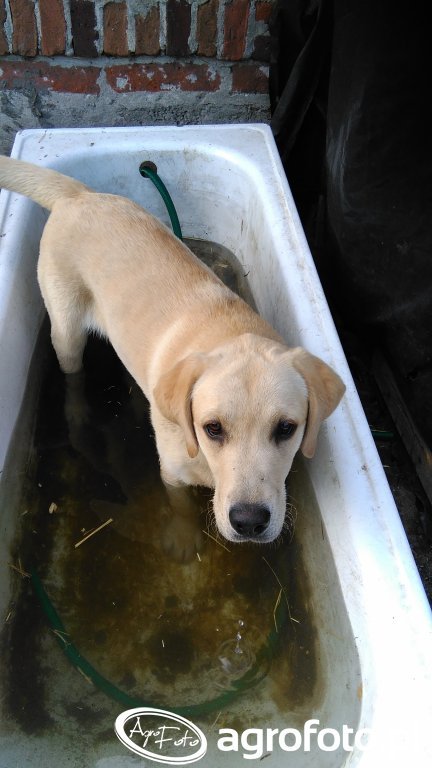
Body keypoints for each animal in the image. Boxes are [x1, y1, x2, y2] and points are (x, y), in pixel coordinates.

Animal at [0, 155, 345, 548]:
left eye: (286, 428)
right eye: (213, 428)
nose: (249, 522)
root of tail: (79, 194)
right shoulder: (172, 474)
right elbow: (179, 506)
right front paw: (184, 538)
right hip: (66, 329)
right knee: (71, 374)